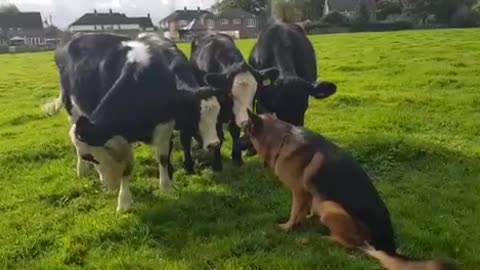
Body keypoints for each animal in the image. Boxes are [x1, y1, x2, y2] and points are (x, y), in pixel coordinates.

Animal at [43, 33, 223, 211]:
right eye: (90, 157)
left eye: (216, 116)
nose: (109, 186)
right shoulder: (123, 131)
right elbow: (127, 167)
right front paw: (124, 202)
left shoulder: (164, 124)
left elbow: (162, 158)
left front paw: (166, 188)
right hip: (72, 108)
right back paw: (82, 170)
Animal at [188, 32, 278, 171]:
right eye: (231, 94)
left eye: (256, 93)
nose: (246, 121)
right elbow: (218, 133)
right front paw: (217, 165)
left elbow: (235, 131)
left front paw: (237, 158)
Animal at [246, 110, 460, 270]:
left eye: (244, 131)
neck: (282, 139)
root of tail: (387, 246)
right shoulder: (307, 194)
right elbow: (303, 211)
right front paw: (304, 219)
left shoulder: (298, 192)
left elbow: (293, 212)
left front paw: (287, 227)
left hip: (329, 206)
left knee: (349, 244)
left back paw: (316, 239)